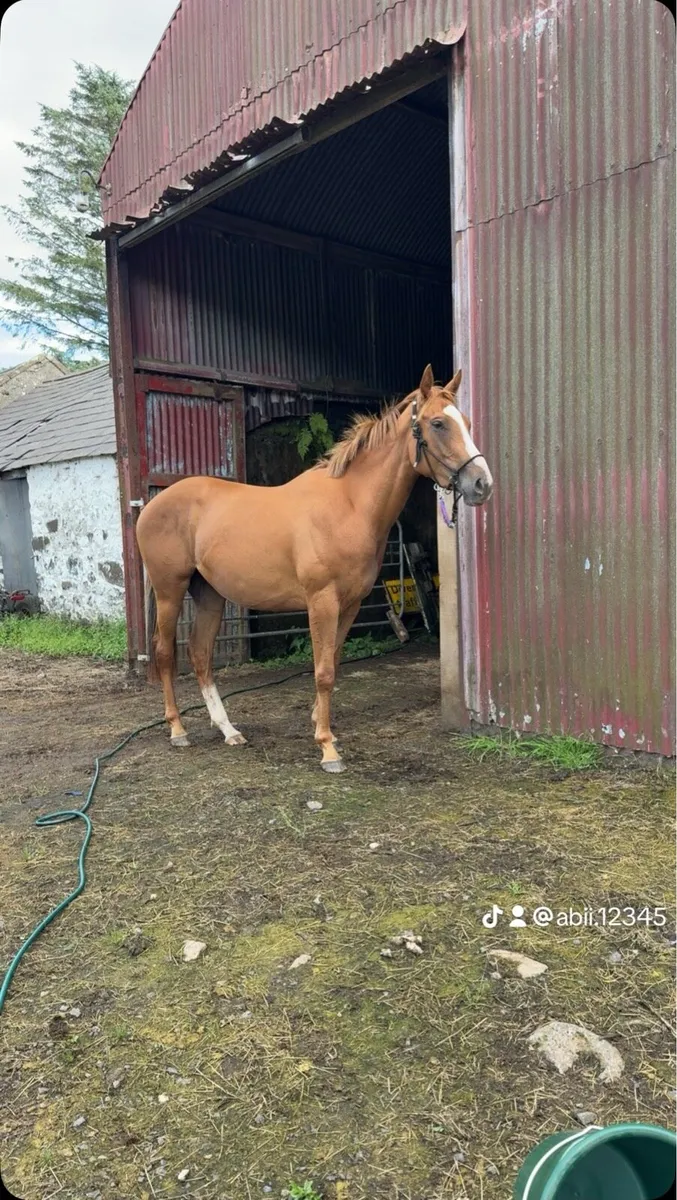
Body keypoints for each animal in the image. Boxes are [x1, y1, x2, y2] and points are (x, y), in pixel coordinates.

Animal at [136, 365, 493, 772]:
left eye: (466, 422)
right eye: (437, 423)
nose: (482, 484)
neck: (348, 505)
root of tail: (151, 506)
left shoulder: (350, 605)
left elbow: (333, 662)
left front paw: (321, 726)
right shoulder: (322, 601)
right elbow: (322, 671)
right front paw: (327, 748)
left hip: (209, 593)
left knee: (200, 653)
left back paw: (229, 731)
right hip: (170, 590)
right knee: (166, 652)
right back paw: (178, 730)